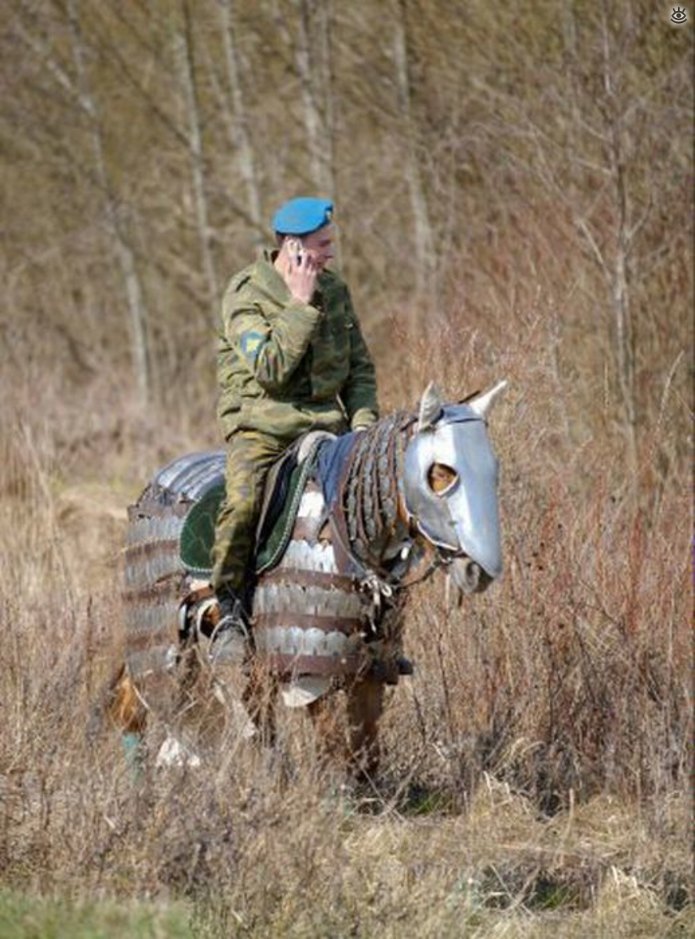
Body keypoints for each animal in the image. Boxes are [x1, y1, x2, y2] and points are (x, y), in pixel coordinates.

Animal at [107, 378, 506, 784]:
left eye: (492, 470)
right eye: (441, 472)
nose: (477, 572)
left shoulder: (371, 665)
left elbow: (364, 751)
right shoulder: (309, 665)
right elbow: (333, 742)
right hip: (157, 632)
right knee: (136, 704)